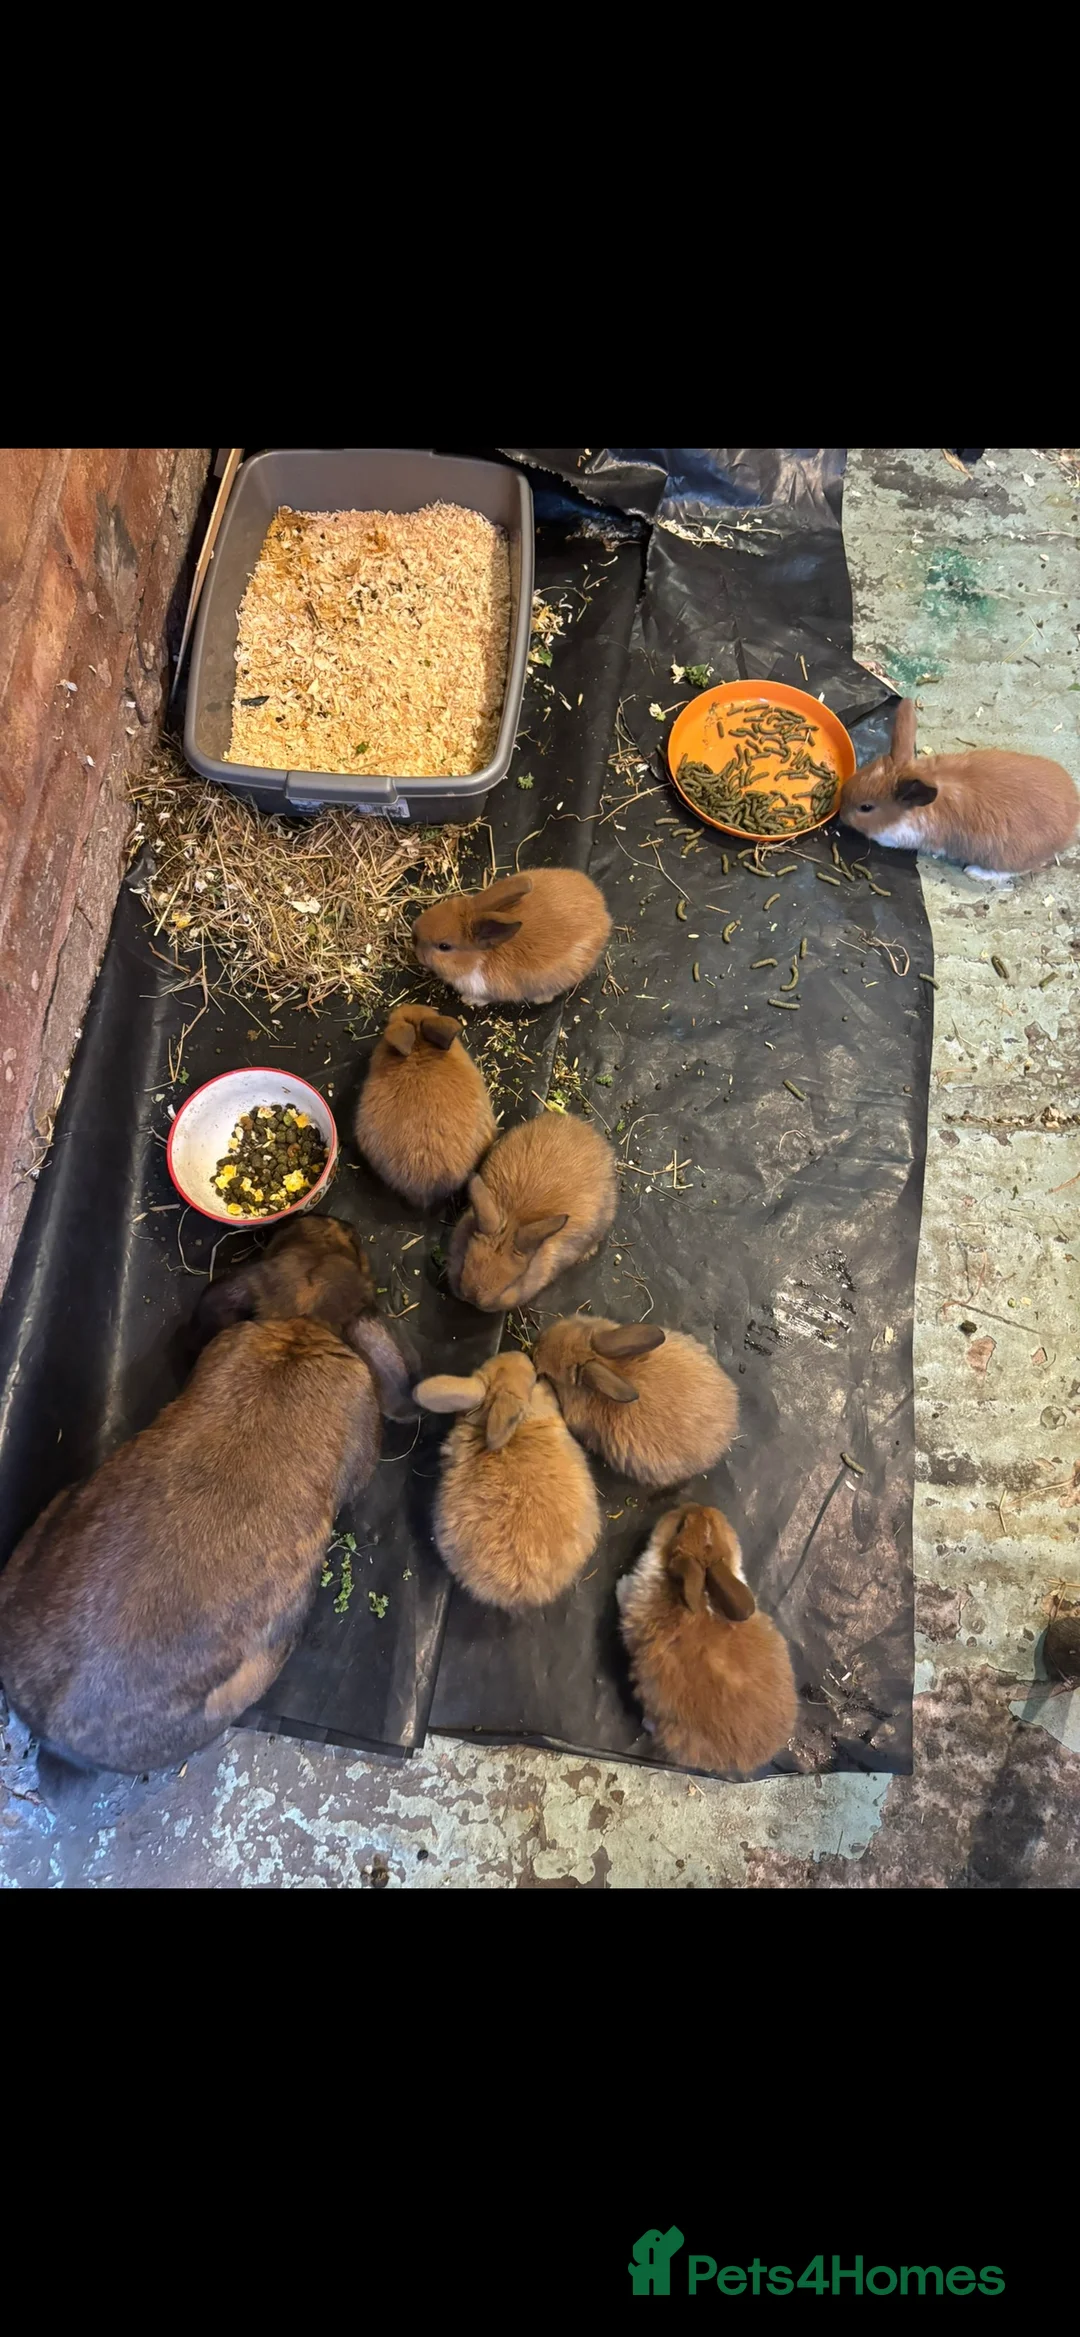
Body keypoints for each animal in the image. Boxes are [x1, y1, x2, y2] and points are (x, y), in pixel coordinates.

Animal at [839, 696, 1078, 879]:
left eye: (866, 808)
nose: (841, 815)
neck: (911, 810)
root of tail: (1071, 819)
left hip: (1007, 856)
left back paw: (975, 872)